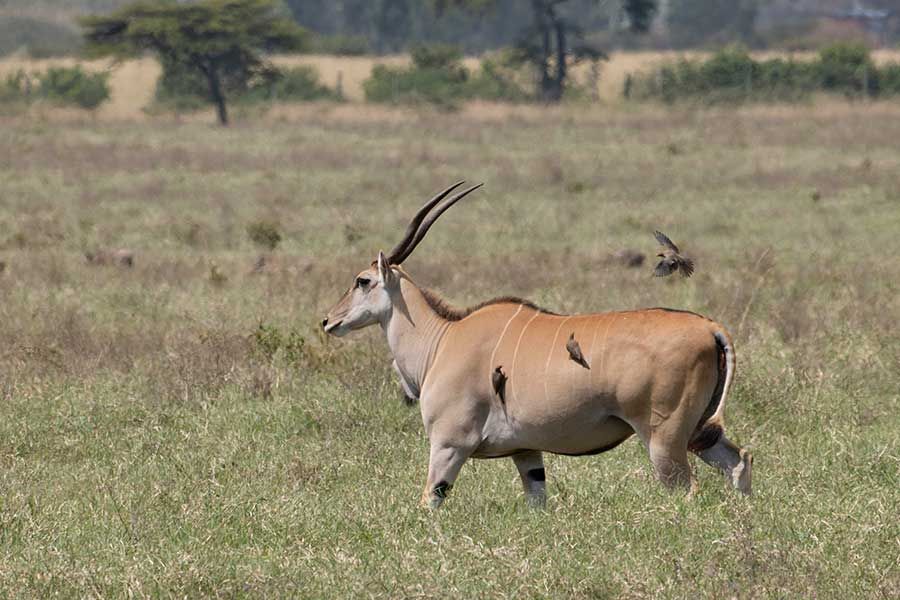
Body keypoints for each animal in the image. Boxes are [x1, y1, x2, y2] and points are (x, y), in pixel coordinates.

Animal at [322, 182, 752, 508]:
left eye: (362, 280)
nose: (328, 321)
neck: (443, 338)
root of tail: (709, 327)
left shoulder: (448, 445)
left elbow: (430, 500)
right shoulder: (526, 453)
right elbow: (537, 501)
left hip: (664, 439)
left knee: (688, 489)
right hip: (698, 433)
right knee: (739, 461)